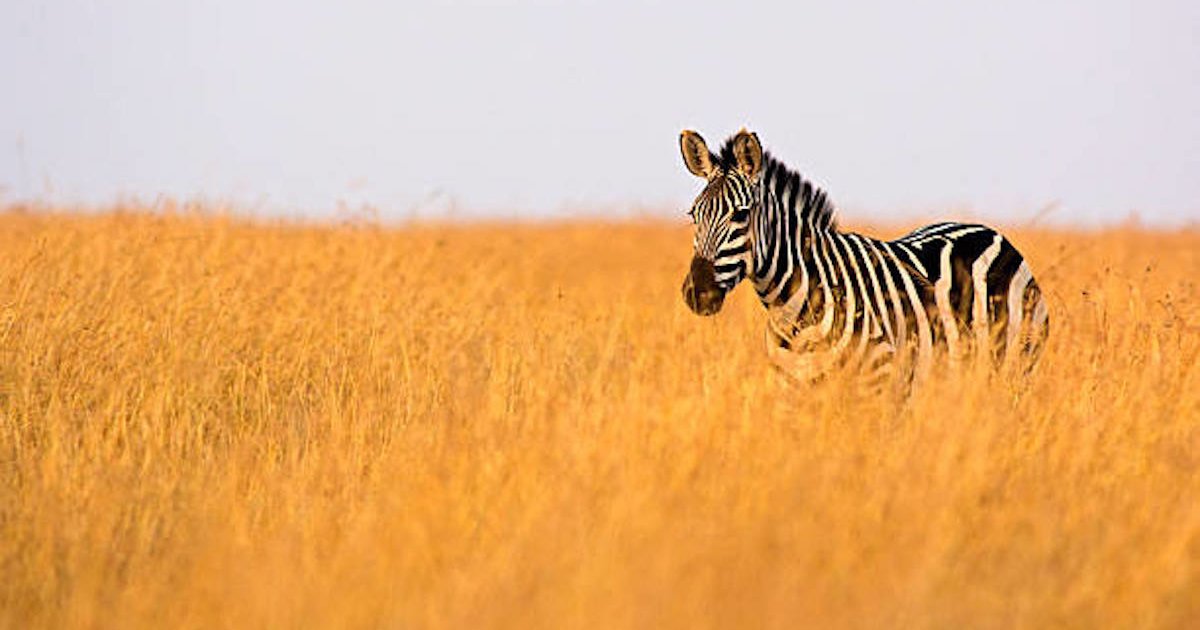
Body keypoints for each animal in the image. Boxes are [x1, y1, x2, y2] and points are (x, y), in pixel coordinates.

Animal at [678, 128, 1049, 385]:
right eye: (693, 215)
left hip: (1018, 365)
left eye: (741, 215)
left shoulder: (878, 383)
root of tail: (987, 230)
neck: (793, 309)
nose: (698, 292)